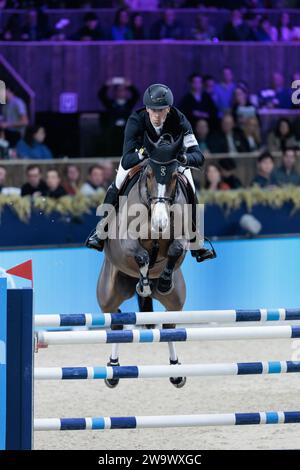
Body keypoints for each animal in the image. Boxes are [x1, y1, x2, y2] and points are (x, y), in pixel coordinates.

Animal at [97, 133, 198, 390]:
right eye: (150, 174)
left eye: (174, 176)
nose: (160, 222)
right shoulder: (125, 240)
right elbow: (141, 255)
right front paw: (143, 283)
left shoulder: (182, 238)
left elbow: (175, 248)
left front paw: (162, 281)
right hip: (108, 293)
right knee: (116, 322)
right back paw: (113, 369)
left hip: (176, 300)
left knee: (169, 327)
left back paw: (176, 371)